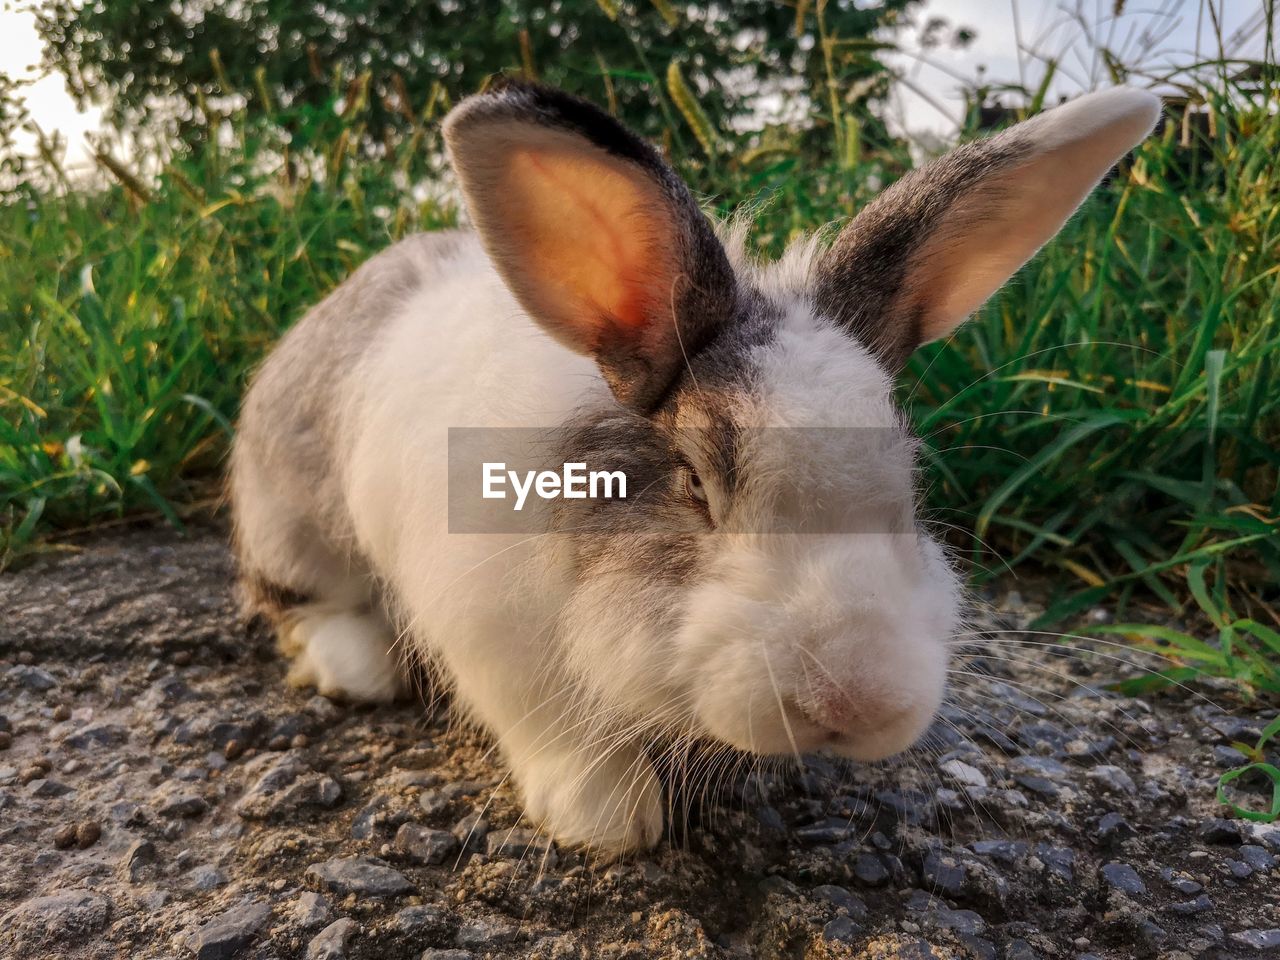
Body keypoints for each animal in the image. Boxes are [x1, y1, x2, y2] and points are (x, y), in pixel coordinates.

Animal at [230, 79, 1162, 855]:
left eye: (911, 477)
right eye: (694, 484)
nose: (857, 702)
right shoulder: (494, 639)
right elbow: (553, 735)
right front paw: (608, 819)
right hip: (292, 521)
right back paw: (359, 668)